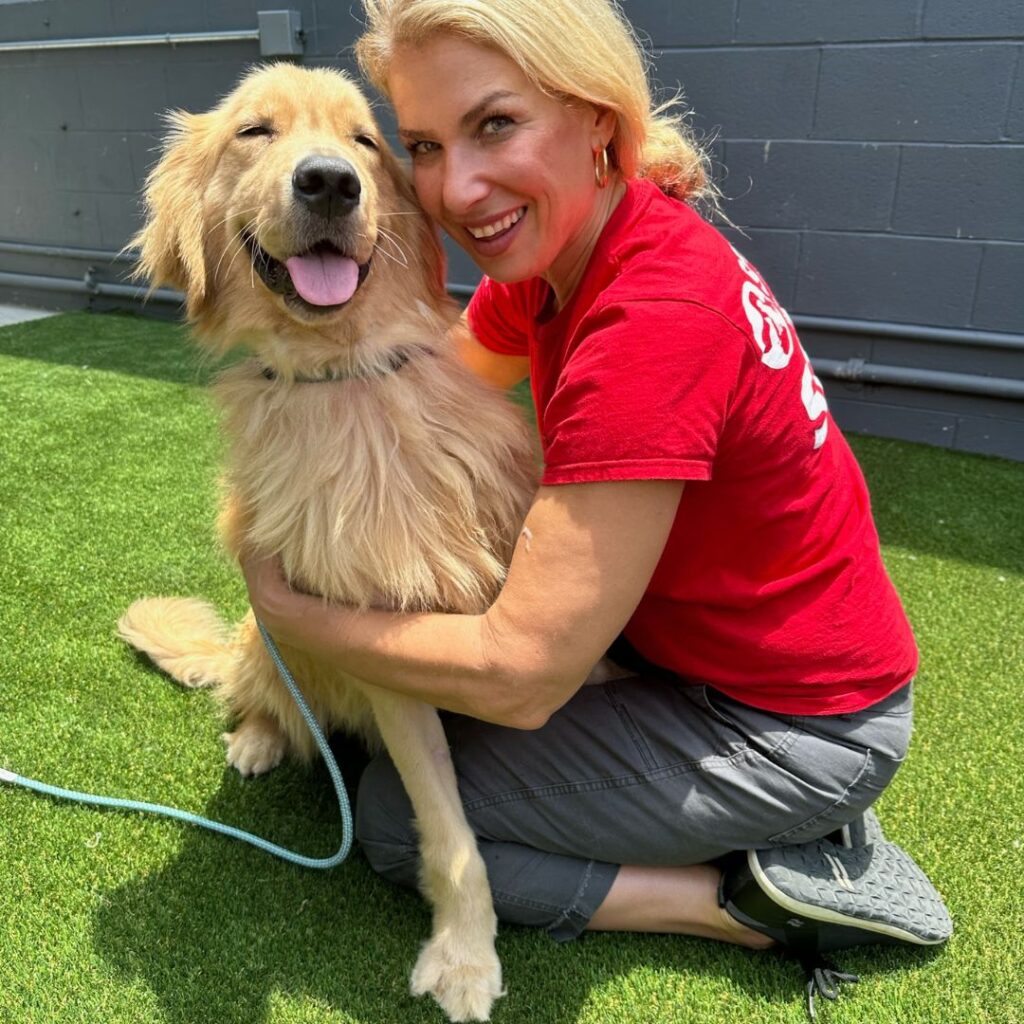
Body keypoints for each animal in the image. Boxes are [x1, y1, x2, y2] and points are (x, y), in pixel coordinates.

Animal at [117, 66, 536, 1024]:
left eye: (366, 143)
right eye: (255, 132)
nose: (329, 184)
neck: (344, 378)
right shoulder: (385, 645)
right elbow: (451, 832)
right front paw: (466, 957)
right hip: (270, 642)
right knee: (258, 694)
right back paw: (260, 738)